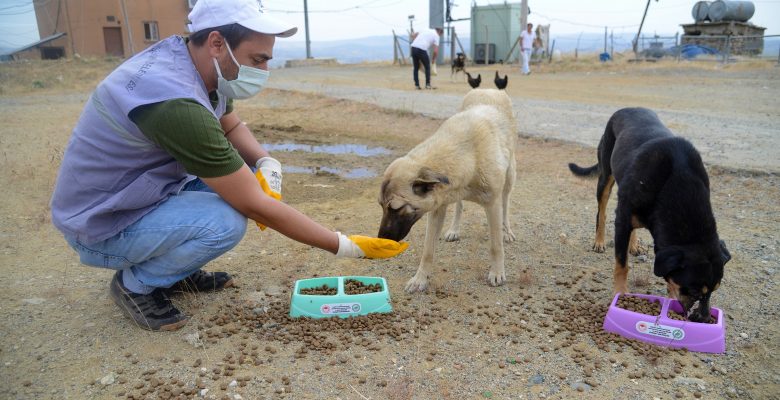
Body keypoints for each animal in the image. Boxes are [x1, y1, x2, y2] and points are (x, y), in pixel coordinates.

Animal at [380, 89, 516, 292]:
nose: (380, 238)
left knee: (506, 205)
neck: (468, 155)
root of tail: (489, 89)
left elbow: (496, 246)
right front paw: (420, 279)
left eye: (395, 208)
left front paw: (497, 272)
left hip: (509, 177)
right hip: (458, 195)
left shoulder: (492, 205)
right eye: (381, 206)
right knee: (460, 205)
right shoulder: (437, 208)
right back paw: (454, 229)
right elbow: (428, 250)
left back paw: (507, 231)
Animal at [568, 108, 732, 324]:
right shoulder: (622, 220)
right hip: (606, 176)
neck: (676, 182)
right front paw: (620, 294)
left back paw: (634, 245)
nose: (704, 319)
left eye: (715, 290)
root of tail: (626, 109)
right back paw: (599, 241)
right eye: (695, 291)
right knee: (601, 213)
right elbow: (621, 265)